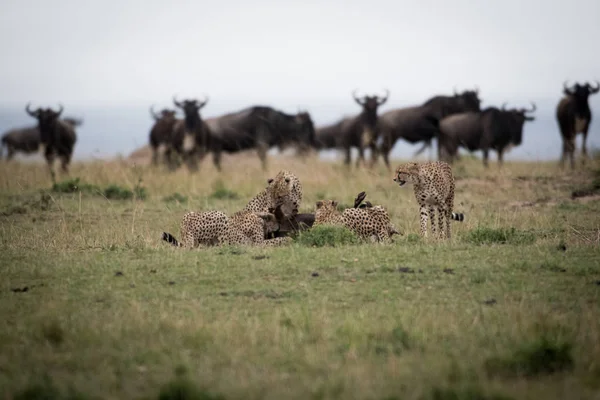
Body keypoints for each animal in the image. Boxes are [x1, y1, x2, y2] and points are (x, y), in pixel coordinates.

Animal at [162, 208, 292, 248]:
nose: (279, 228)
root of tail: (184, 226)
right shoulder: (257, 244)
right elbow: (277, 240)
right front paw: (290, 239)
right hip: (221, 216)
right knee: (222, 245)